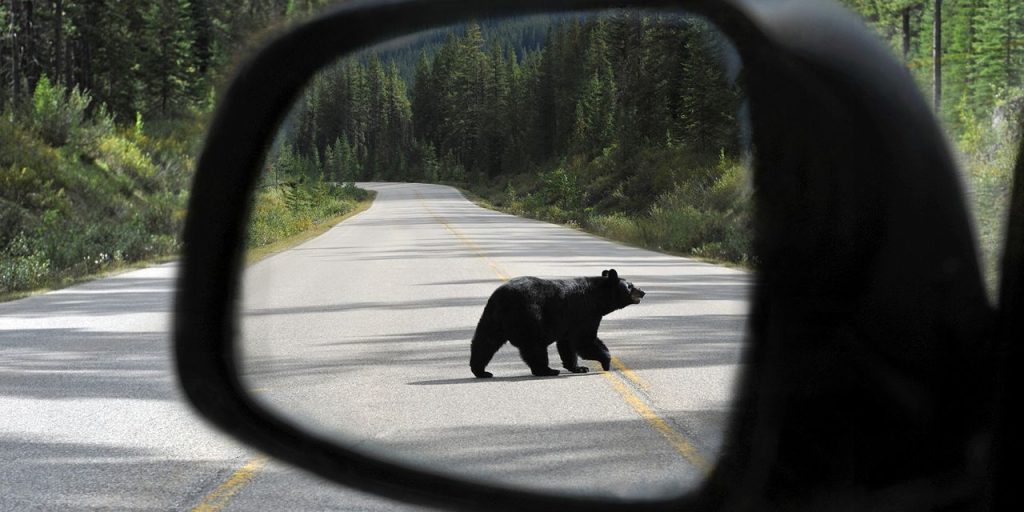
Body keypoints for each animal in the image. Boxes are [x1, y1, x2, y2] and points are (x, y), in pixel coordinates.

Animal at [468, 270, 643, 378]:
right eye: (630, 286)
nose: (643, 292)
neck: (598, 298)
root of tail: (502, 298)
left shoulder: (570, 322)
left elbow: (567, 344)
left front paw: (579, 367)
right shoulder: (585, 313)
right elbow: (584, 340)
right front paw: (606, 362)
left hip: (492, 318)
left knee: (485, 342)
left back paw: (481, 371)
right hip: (530, 317)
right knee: (535, 347)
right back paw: (547, 370)